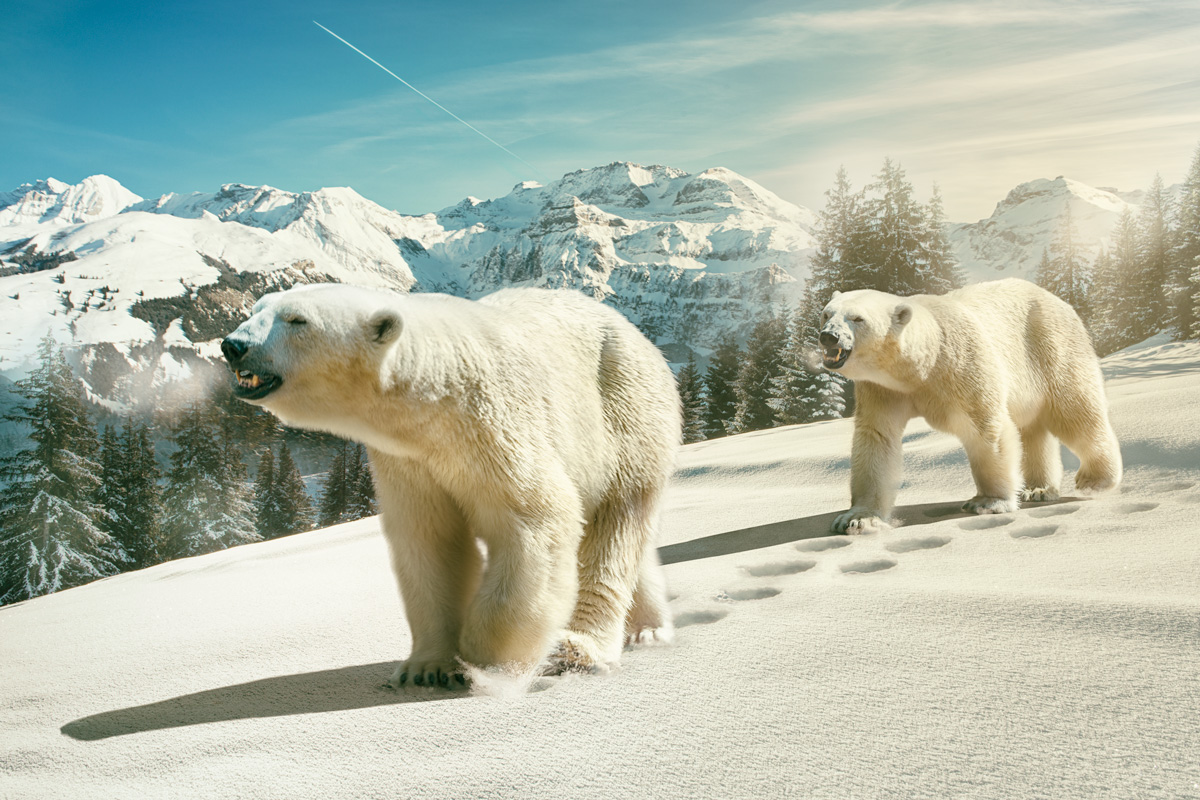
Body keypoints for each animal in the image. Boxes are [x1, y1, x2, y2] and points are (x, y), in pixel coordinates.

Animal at [220, 283, 679, 687]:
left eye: (297, 320)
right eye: (256, 308)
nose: (232, 345)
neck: (438, 391)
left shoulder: (495, 428)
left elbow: (536, 518)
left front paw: (483, 655)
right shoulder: (408, 461)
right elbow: (430, 542)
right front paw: (425, 668)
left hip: (623, 412)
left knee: (614, 525)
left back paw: (583, 647)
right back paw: (646, 629)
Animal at [818, 278, 1122, 534]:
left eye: (857, 318)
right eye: (826, 314)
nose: (828, 336)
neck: (923, 366)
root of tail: (1060, 301)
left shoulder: (962, 365)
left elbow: (986, 428)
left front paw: (988, 502)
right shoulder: (883, 389)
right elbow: (877, 438)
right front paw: (858, 518)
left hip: (1052, 348)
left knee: (1075, 411)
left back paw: (1095, 479)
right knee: (1033, 429)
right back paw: (1037, 489)